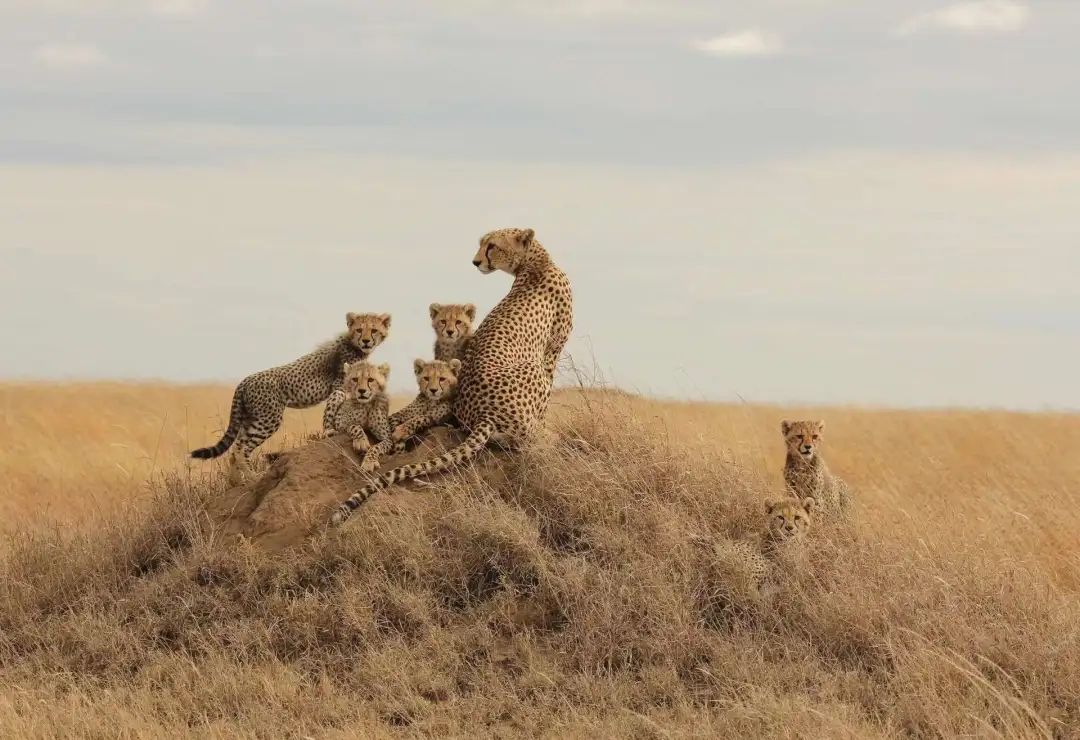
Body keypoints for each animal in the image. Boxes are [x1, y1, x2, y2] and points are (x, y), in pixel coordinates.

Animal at [192, 313, 390, 481]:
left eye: (374, 330)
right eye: (359, 330)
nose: (366, 341)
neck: (352, 343)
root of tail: (244, 381)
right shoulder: (339, 386)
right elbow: (333, 408)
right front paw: (330, 430)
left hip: (250, 418)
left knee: (235, 449)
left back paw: (236, 483)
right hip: (268, 419)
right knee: (242, 449)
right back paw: (254, 477)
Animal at [332, 227, 574, 522]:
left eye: (492, 246)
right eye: (483, 244)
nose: (476, 261)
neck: (536, 263)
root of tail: (485, 415)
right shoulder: (551, 352)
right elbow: (548, 394)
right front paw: (546, 428)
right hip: (530, 368)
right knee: (520, 437)